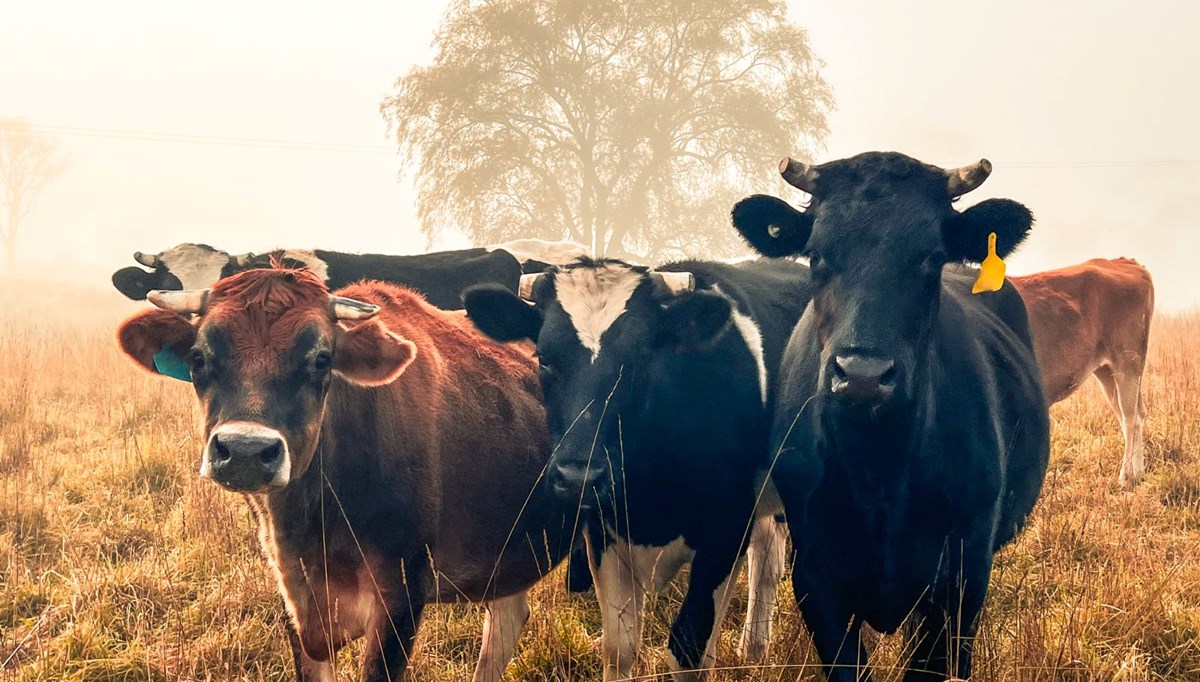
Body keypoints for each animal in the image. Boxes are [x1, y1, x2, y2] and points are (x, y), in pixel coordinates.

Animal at [463, 256, 811, 682]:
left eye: (642, 358)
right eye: (544, 358)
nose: (578, 477)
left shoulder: (725, 532)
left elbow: (689, 649)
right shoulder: (603, 532)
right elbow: (620, 647)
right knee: (767, 552)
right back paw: (754, 650)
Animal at [724, 154, 1046, 682]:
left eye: (930, 256)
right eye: (817, 254)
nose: (862, 376)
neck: (879, 468)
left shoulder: (962, 577)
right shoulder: (816, 577)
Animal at [1012, 258, 1152, 487]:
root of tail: (1123, 261)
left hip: (1128, 362)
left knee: (1130, 416)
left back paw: (1126, 476)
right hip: (1108, 372)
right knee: (1134, 414)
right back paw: (1138, 472)